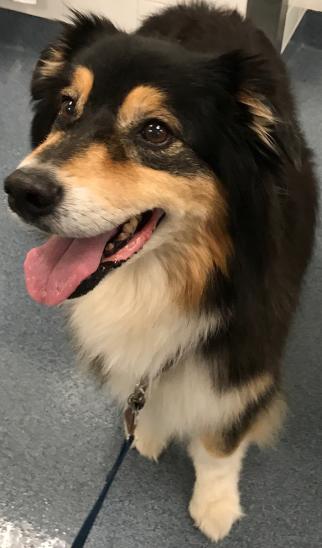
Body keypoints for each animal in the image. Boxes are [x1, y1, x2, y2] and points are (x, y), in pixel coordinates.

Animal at [3, 3, 318, 544]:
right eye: (68, 105)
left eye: (155, 132)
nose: (21, 190)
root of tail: (207, 8)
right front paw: (147, 431)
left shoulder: (247, 357)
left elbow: (220, 444)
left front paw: (214, 505)